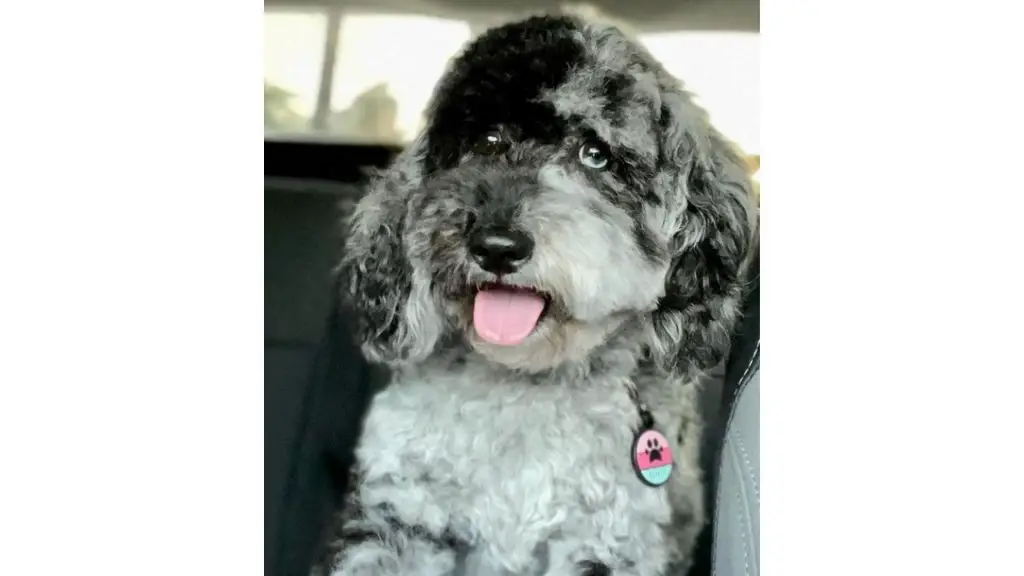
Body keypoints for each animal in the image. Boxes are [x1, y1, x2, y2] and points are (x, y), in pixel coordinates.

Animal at [323, 13, 757, 573]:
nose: (496, 246)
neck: (528, 382)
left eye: (596, 155)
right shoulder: (397, 515)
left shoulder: (606, 543)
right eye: (486, 139)